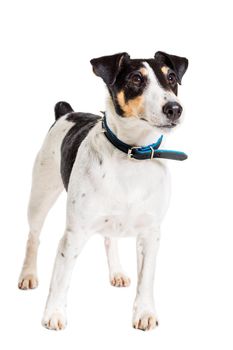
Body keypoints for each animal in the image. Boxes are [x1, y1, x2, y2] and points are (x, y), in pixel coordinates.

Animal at [18, 51, 189, 330]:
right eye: (135, 79)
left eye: (172, 77)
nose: (174, 108)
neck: (133, 154)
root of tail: (67, 113)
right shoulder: (74, 234)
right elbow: (60, 279)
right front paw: (54, 314)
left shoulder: (150, 234)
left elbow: (146, 278)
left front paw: (144, 312)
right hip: (40, 196)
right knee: (34, 237)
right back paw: (28, 274)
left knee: (110, 239)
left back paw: (117, 272)